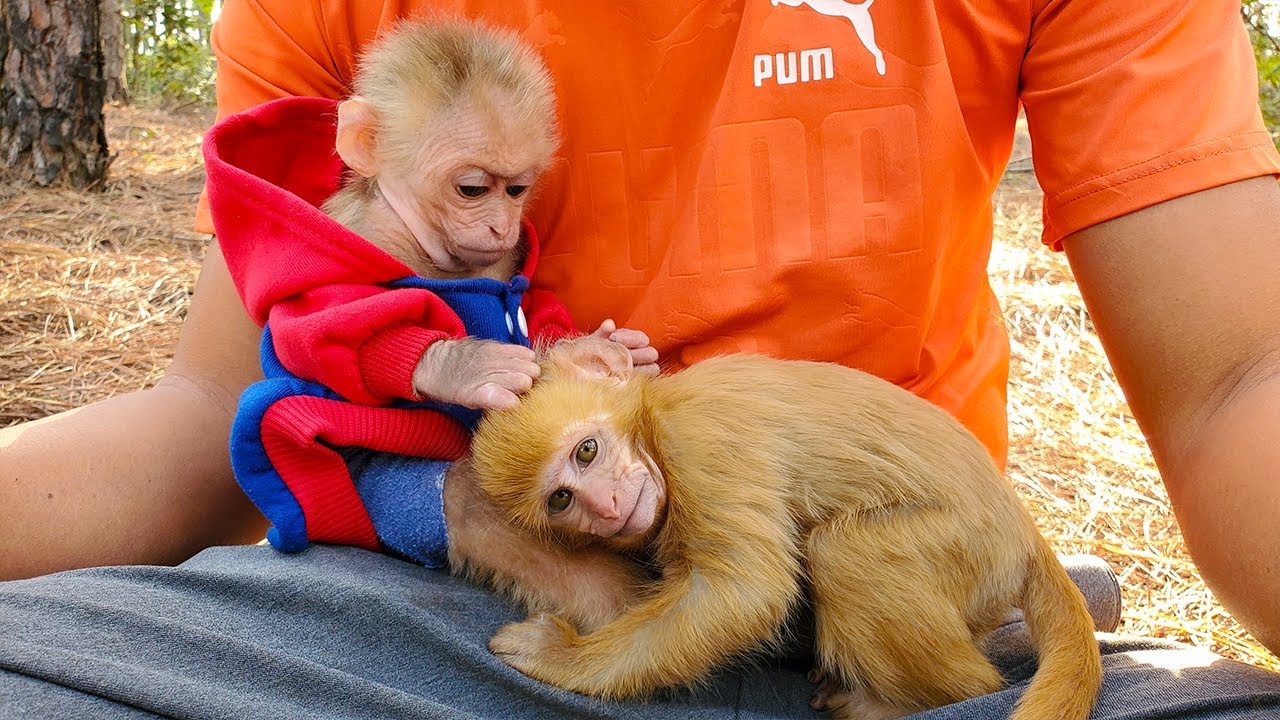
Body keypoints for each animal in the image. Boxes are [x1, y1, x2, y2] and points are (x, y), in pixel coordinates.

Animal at [468, 335, 1103, 720]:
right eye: (562, 500)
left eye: (588, 451)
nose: (606, 505)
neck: (650, 427)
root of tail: (1024, 533)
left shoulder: (701, 433)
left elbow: (745, 592)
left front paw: (562, 658)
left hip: (971, 547)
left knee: (846, 553)